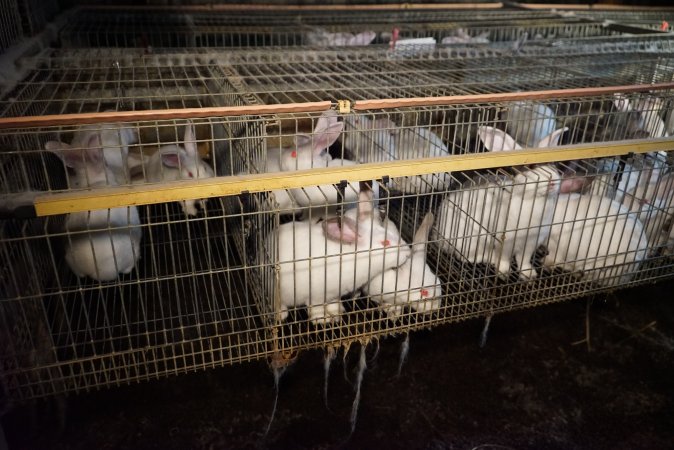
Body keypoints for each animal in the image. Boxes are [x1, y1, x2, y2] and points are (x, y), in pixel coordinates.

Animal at [268, 188, 410, 326]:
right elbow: (316, 309)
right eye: (385, 243)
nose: (408, 252)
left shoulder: (334, 295)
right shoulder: (316, 295)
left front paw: (336, 314)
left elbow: (333, 304)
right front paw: (322, 320)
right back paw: (281, 315)